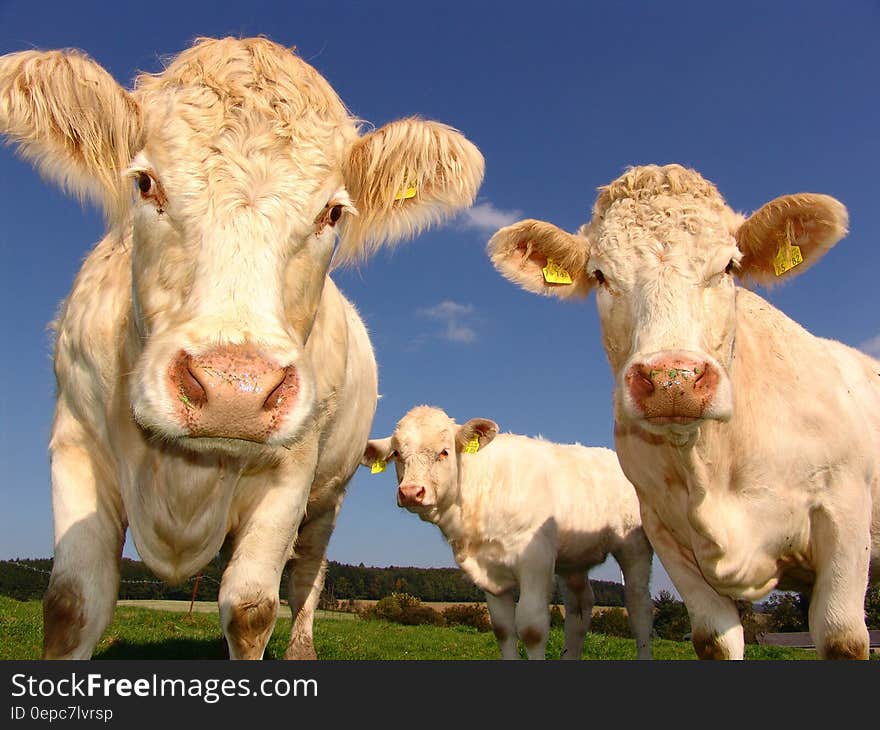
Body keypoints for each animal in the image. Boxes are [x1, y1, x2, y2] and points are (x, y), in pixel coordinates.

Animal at [0, 35, 484, 660]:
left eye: (333, 211)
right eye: (145, 183)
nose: (235, 390)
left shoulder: (292, 473)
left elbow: (253, 608)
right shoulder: (76, 441)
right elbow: (71, 601)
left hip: (329, 496)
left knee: (306, 576)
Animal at [360, 404, 656, 660]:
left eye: (444, 452)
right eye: (397, 454)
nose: (411, 492)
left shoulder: (535, 560)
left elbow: (532, 628)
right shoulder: (489, 573)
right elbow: (503, 629)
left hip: (635, 545)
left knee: (639, 606)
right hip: (573, 559)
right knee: (580, 608)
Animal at [488, 166, 880, 660]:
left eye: (728, 266)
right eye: (600, 275)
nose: (672, 379)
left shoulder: (844, 513)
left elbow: (842, 636)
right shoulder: (667, 533)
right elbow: (714, 639)